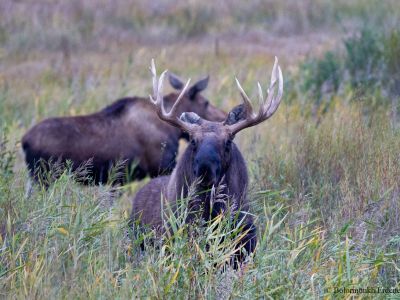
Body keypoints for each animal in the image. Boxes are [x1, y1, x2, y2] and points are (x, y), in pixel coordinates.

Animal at [21, 70, 227, 185]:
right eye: (205, 102)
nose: (223, 117)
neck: (175, 131)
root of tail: (24, 141)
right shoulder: (161, 167)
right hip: (45, 176)